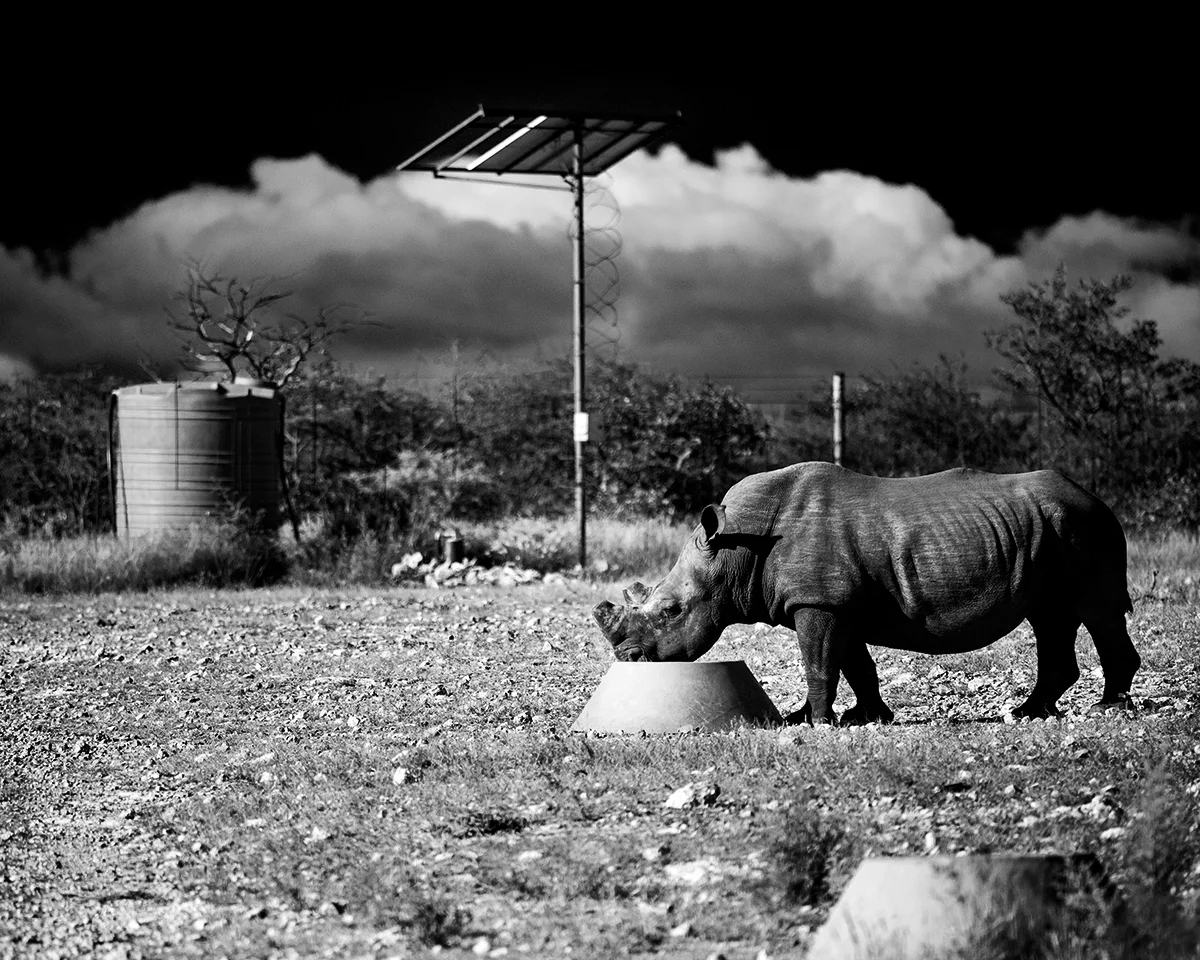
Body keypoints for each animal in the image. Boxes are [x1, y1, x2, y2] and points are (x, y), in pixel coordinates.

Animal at [593, 463, 1139, 725]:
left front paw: (815, 722)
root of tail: (1094, 495)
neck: (735, 550)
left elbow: (820, 662)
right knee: (1051, 617)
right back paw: (1031, 713)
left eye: (670, 611)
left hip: (1084, 527)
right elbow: (855, 664)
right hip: (1053, 528)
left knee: (1097, 609)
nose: (630, 658)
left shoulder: (818, 602)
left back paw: (1107, 709)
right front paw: (861, 717)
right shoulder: (836, 603)